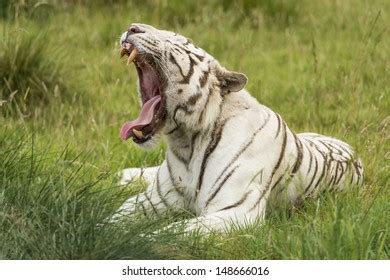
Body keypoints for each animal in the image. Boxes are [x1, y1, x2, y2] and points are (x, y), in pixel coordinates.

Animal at [114, 23, 364, 234]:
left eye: (177, 40)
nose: (132, 27)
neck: (186, 143)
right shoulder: (154, 199)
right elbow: (114, 218)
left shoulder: (236, 210)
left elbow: (168, 233)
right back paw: (123, 175)